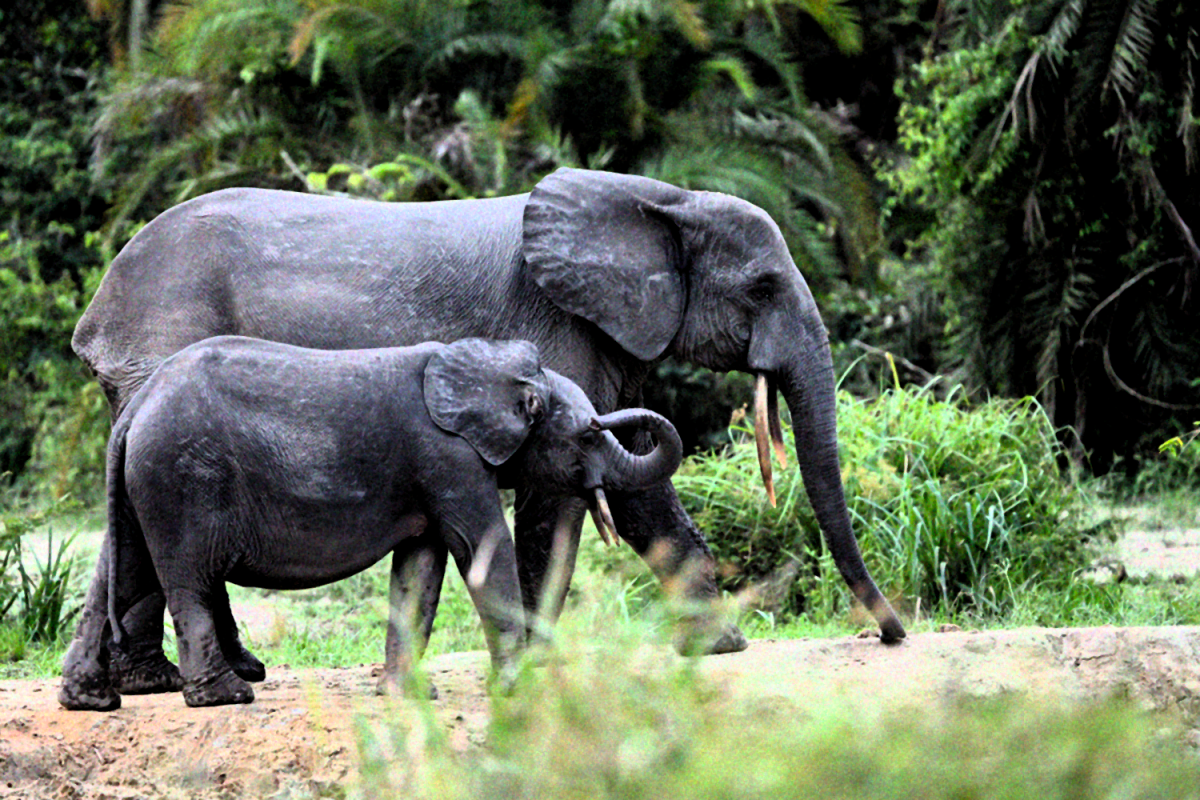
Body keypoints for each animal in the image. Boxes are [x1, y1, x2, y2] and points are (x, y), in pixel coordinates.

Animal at [58, 336, 683, 710]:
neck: (492, 369)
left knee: (125, 570)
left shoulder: (432, 474)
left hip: (150, 478)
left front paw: (407, 695)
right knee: (188, 579)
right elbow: (481, 550)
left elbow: (420, 571)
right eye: (587, 436)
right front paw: (517, 688)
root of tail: (136, 407)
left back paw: (90, 701)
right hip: (183, 476)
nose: (624, 414)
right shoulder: (449, 458)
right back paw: (226, 697)